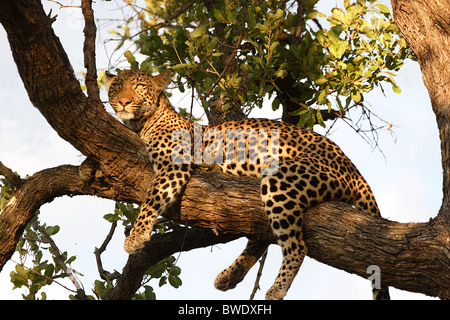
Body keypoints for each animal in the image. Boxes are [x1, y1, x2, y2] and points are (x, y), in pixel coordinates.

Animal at [106, 68, 390, 300]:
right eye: (116, 85)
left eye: (139, 86)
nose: (123, 101)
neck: (143, 123)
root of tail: (353, 168)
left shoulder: (173, 164)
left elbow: (152, 196)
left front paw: (136, 236)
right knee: (263, 235)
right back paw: (229, 276)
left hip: (282, 181)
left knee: (297, 246)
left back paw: (276, 289)